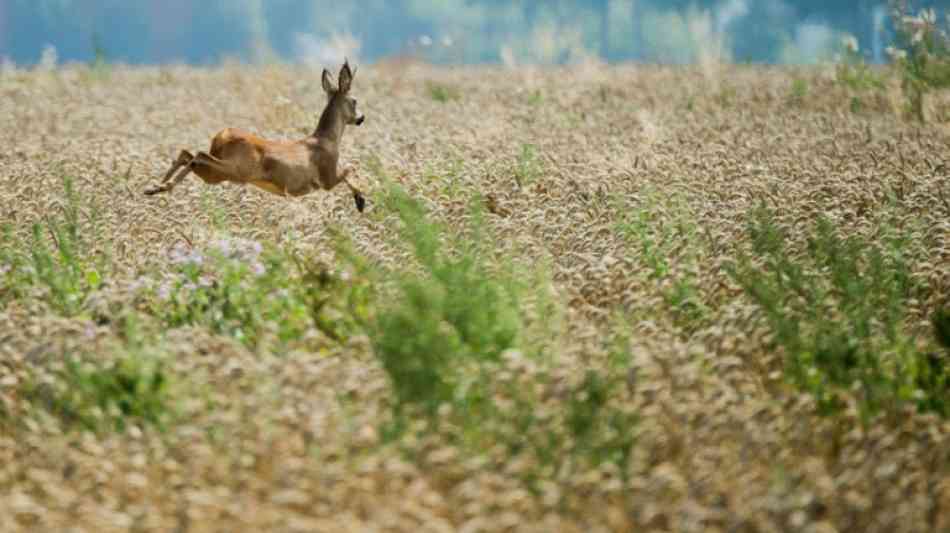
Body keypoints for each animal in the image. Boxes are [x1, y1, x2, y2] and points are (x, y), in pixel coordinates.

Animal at [145, 61, 368, 211]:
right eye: (355, 100)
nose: (361, 118)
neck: (327, 139)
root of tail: (222, 137)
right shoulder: (326, 178)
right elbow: (351, 167)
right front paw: (361, 200)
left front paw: (360, 200)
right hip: (237, 170)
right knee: (197, 155)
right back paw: (163, 186)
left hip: (217, 174)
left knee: (187, 154)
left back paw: (155, 187)